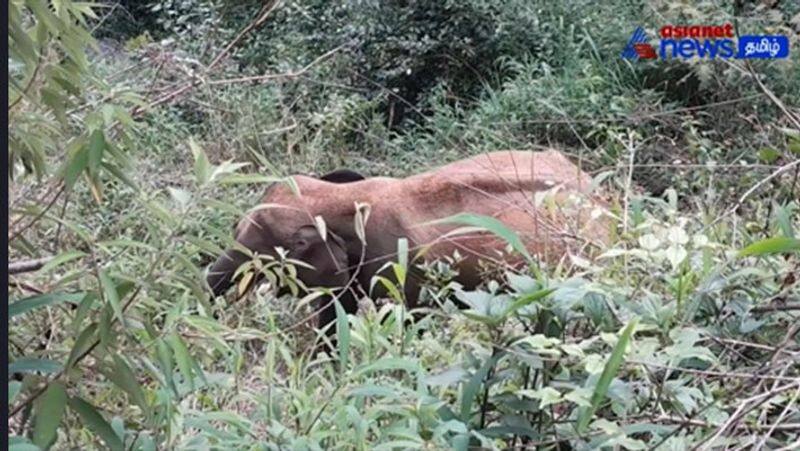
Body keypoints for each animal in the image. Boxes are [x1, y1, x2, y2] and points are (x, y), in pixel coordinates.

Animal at [208, 148, 612, 342]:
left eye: (262, 251)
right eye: (235, 226)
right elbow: (334, 319)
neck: (344, 197)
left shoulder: (400, 264)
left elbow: (406, 320)